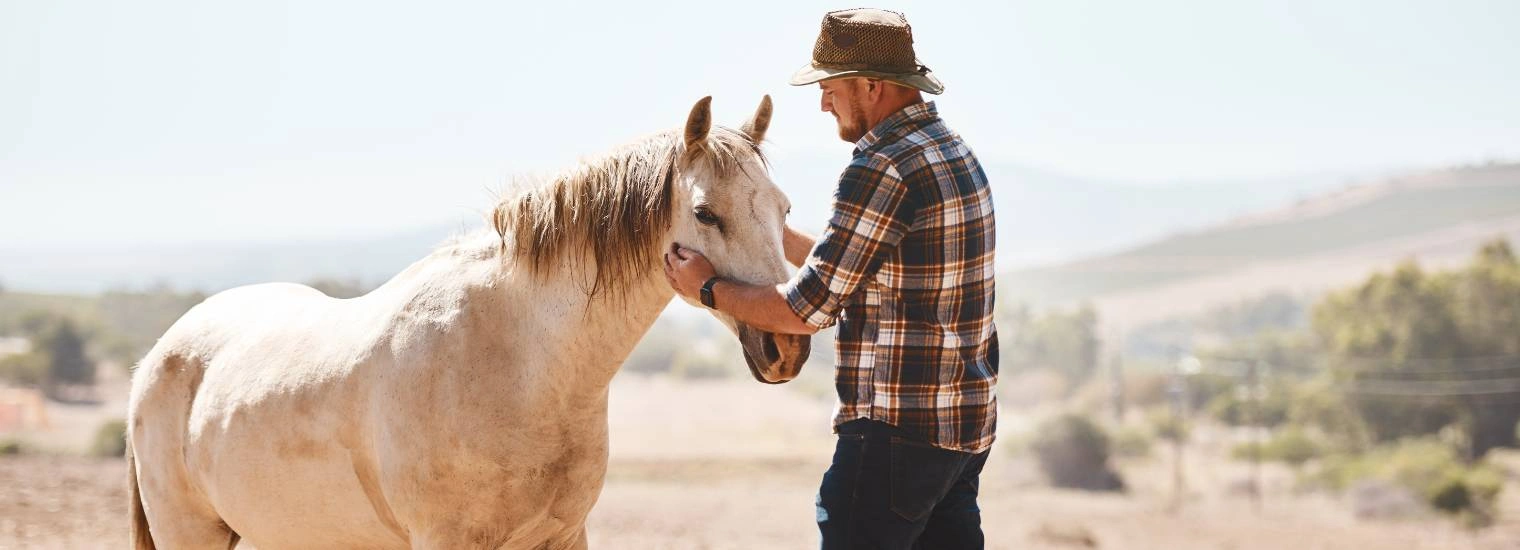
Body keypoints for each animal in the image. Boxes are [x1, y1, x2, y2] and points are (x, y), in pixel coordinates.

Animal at [126, 96, 814, 546]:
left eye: (782, 209)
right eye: (705, 213)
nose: (786, 345)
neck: (522, 361)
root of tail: (157, 357)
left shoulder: (563, 537)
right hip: (192, 535)